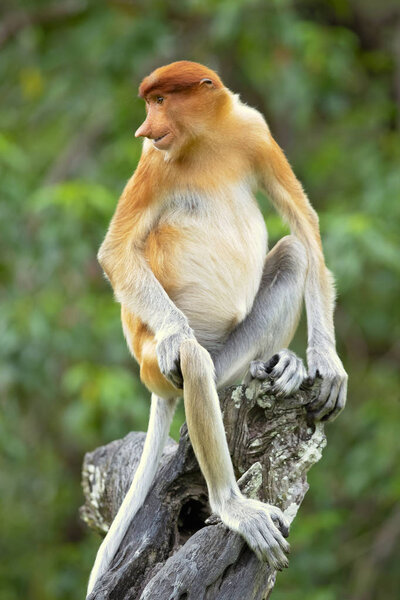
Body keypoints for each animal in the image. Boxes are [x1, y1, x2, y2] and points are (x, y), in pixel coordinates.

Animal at [85, 61, 346, 596]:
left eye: (160, 100)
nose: (143, 128)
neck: (204, 140)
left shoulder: (254, 132)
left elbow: (304, 223)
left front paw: (327, 365)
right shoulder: (153, 161)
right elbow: (116, 251)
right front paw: (175, 334)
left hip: (234, 349)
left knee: (294, 254)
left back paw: (279, 366)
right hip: (159, 371)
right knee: (193, 361)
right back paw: (233, 507)